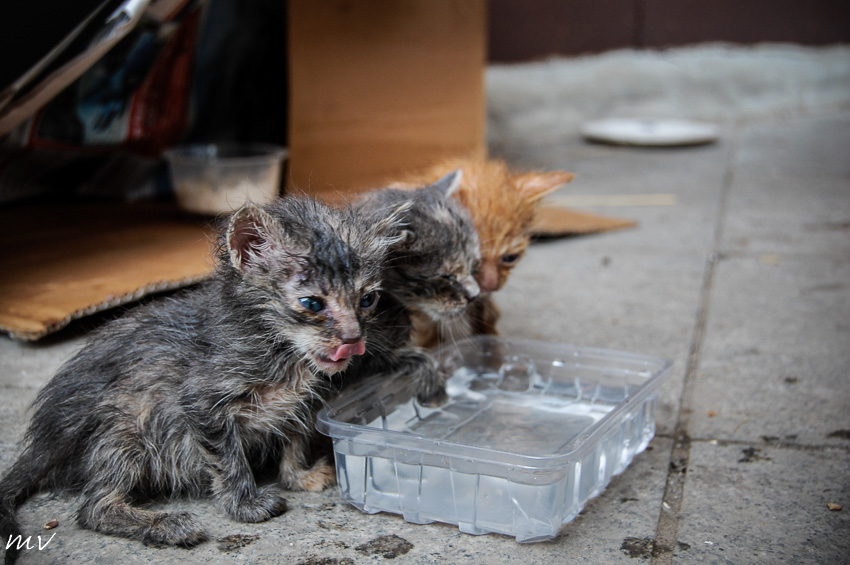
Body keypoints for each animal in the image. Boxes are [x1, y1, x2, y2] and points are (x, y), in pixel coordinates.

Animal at [0, 194, 417, 561]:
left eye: (367, 300)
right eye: (312, 303)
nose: (353, 339)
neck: (280, 350)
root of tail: (45, 443)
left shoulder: (301, 401)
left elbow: (294, 437)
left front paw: (298, 476)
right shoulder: (201, 401)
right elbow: (229, 458)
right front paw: (246, 504)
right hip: (125, 425)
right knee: (92, 508)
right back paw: (166, 525)